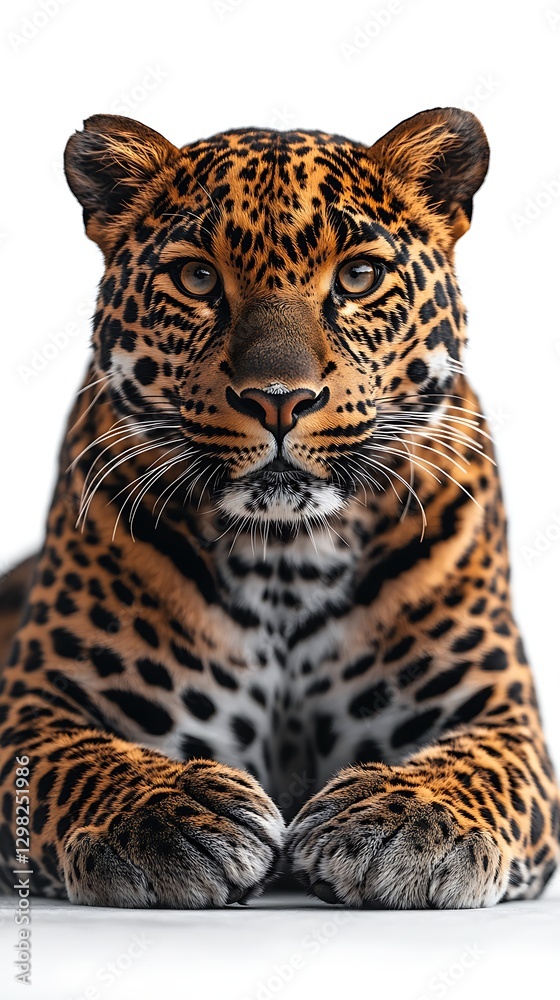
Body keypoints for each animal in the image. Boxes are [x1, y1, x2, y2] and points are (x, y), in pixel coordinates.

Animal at [0, 107, 558, 909]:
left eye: (358, 276)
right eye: (197, 277)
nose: (279, 400)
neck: (288, 553)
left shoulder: (501, 717)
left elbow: (475, 769)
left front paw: (398, 820)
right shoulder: (38, 709)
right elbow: (85, 763)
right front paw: (176, 811)